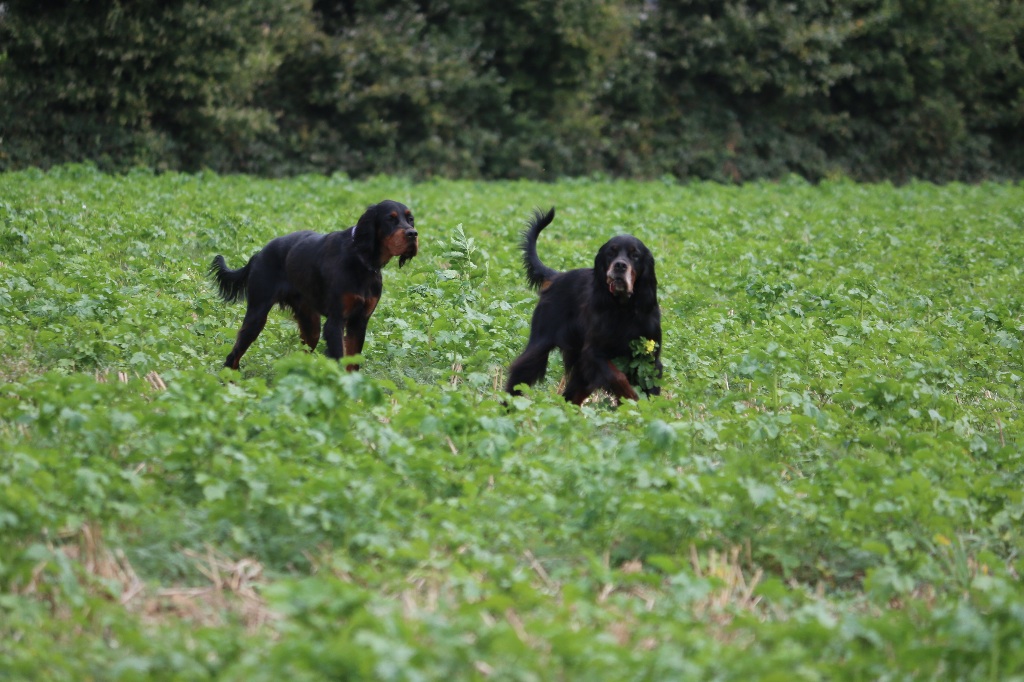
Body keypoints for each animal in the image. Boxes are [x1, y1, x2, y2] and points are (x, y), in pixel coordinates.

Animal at [209, 199, 417, 368]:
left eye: (410, 219)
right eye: (390, 219)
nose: (413, 234)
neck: (361, 259)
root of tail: (258, 254)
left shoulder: (359, 322)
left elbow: (352, 364)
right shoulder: (335, 322)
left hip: (311, 325)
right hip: (257, 315)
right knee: (233, 356)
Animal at [503, 206, 663, 403]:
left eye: (635, 255)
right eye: (611, 252)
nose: (619, 266)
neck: (623, 308)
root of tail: (556, 277)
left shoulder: (649, 356)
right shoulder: (593, 353)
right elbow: (617, 377)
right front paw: (631, 398)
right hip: (540, 345)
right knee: (520, 375)